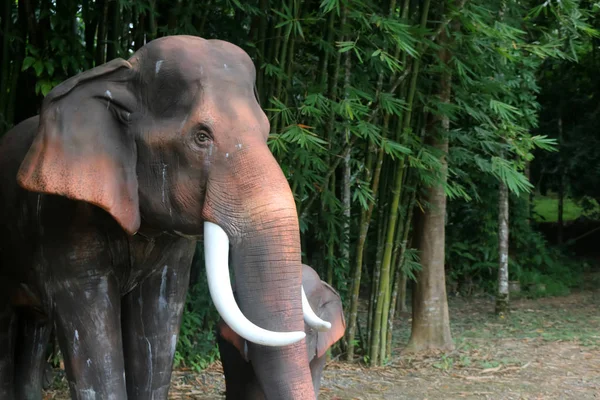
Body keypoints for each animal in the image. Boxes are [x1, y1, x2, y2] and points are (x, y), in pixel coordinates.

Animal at [0, 35, 328, 400]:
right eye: (201, 136)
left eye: (267, 131)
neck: (120, 72)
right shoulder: (65, 221)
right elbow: (90, 330)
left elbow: (158, 320)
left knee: (36, 325)